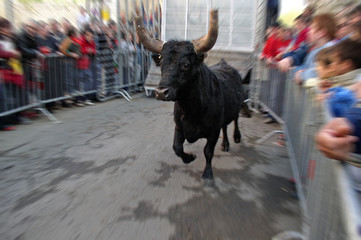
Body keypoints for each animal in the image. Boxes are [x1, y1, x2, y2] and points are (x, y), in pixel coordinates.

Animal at [155, 41, 250, 179]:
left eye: (186, 65)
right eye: (161, 62)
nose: (161, 92)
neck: (191, 111)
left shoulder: (214, 131)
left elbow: (208, 151)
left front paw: (208, 173)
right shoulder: (179, 127)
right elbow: (177, 147)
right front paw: (189, 158)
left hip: (237, 104)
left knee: (236, 119)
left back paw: (236, 137)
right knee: (225, 126)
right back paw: (225, 144)